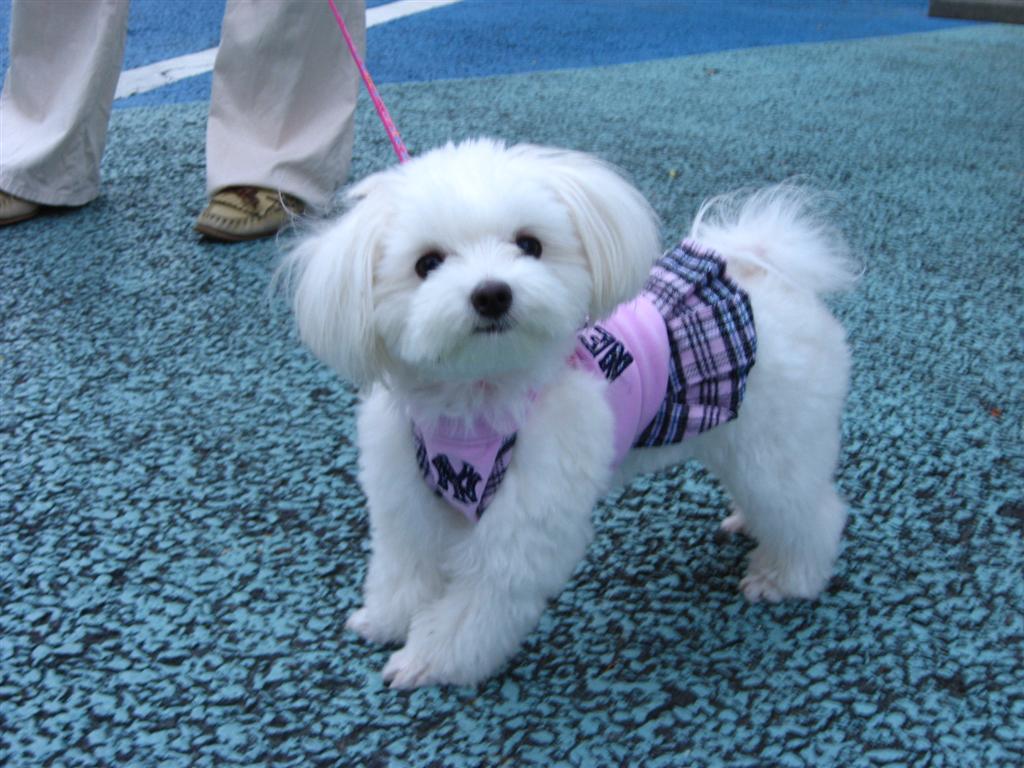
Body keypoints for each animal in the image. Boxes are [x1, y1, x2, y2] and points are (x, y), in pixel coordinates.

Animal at [280, 138, 857, 688]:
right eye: (427, 263)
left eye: (529, 244)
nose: (492, 293)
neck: (474, 400)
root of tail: (760, 268)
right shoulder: (406, 500)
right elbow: (404, 569)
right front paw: (385, 620)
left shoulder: (522, 527)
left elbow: (474, 608)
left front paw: (429, 660)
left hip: (775, 444)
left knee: (811, 512)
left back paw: (786, 577)